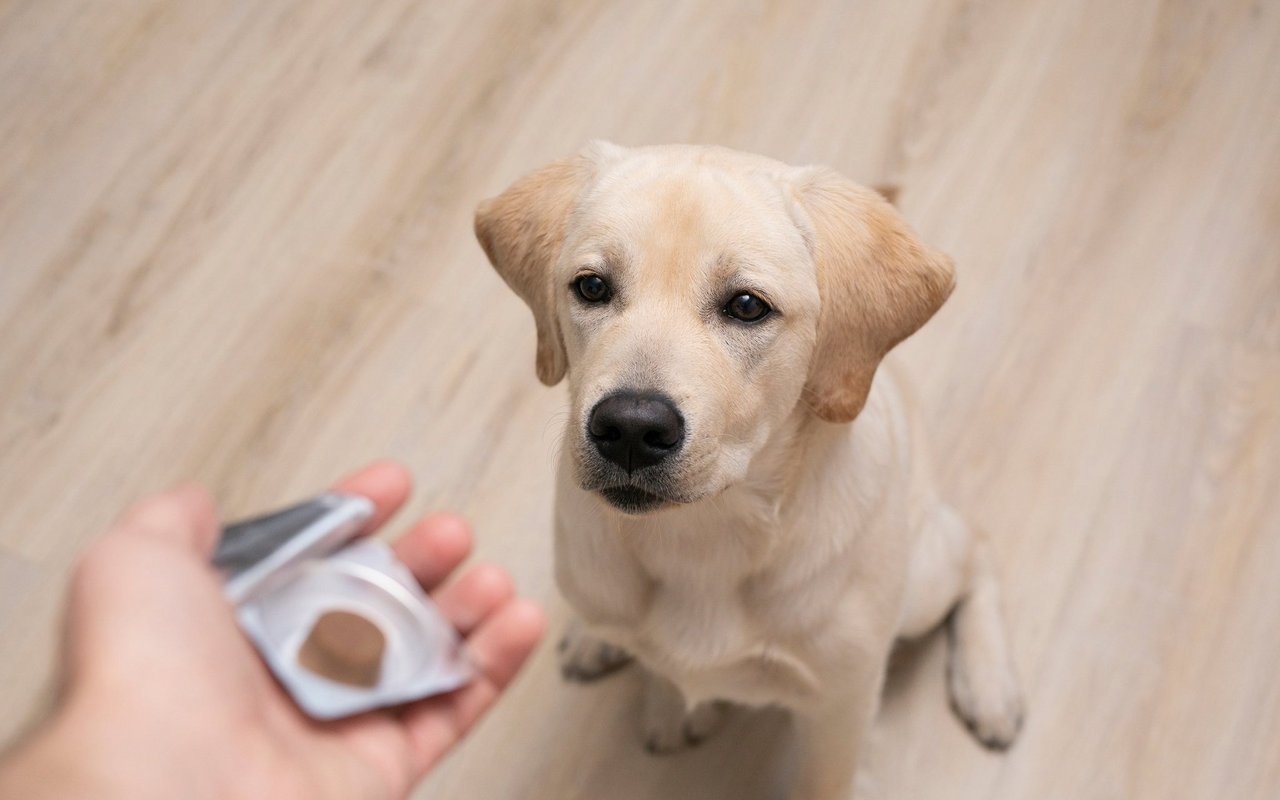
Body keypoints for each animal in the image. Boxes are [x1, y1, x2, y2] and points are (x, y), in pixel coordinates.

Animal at [476, 143, 1024, 798]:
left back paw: (989, 686)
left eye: (746, 306)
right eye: (591, 287)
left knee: (979, 547)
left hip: (924, 578)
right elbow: (662, 665)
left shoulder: (840, 707)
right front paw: (669, 704)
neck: (705, 533)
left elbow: (826, 783)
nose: (630, 429)